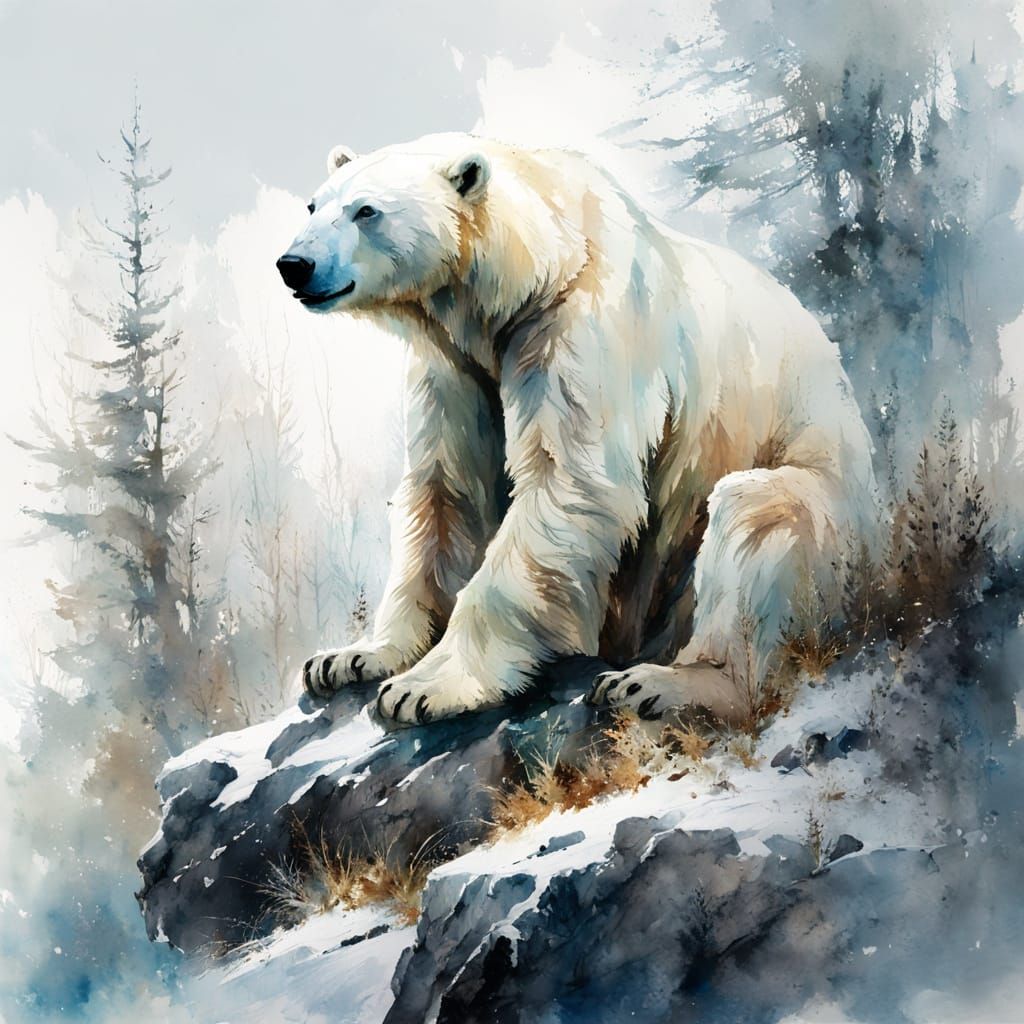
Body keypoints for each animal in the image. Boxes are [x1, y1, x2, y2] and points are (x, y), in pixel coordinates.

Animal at [276, 133, 878, 727]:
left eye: (366, 211)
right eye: (313, 206)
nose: (293, 264)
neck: (541, 263)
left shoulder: (579, 330)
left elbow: (571, 481)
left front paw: (425, 686)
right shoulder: (455, 368)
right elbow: (447, 493)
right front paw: (353, 657)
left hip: (828, 526)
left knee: (752, 519)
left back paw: (665, 681)